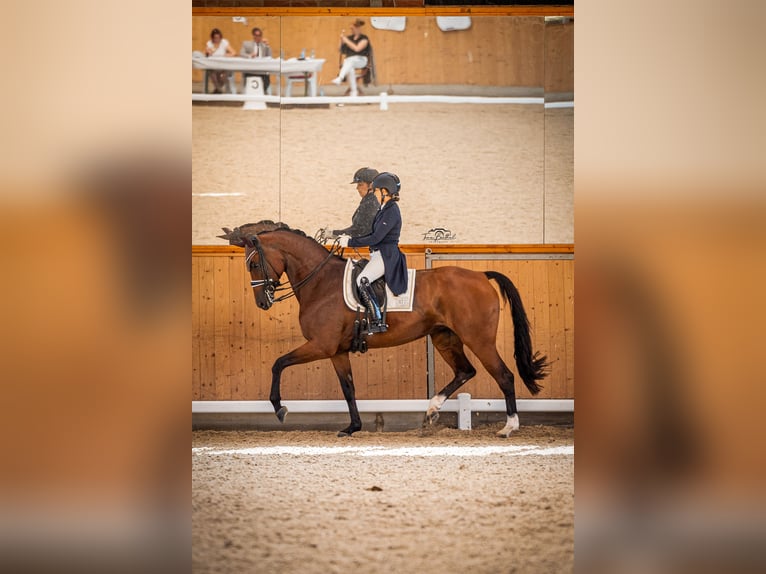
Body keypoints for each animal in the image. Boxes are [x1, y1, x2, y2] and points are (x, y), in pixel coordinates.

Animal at [219, 223, 548, 438]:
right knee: (465, 371)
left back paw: (508, 427)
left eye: (253, 264)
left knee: (504, 375)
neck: (320, 282)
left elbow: (278, 364)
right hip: (444, 337)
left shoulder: (321, 345)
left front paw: (279, 408)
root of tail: (480, 275)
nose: (263, 302)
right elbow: (348, 388)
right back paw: (431, 410)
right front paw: (352, 427)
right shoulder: (336, 351)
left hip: (478, 339)